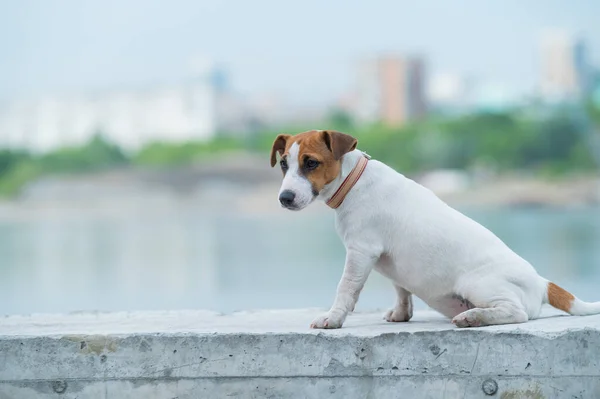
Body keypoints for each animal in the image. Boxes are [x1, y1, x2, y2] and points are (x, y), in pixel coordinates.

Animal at [270, 130, 600, 330]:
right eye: (284, 164)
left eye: (311, 163)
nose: (284, 198)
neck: (353, 181)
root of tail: (543, 283)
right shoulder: (388, 260)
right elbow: (401, 289)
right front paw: (401, 315)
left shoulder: (361, 252)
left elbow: (346, 289)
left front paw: (333, 317)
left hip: (478, 284)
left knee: (516, 312)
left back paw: (474, 317)